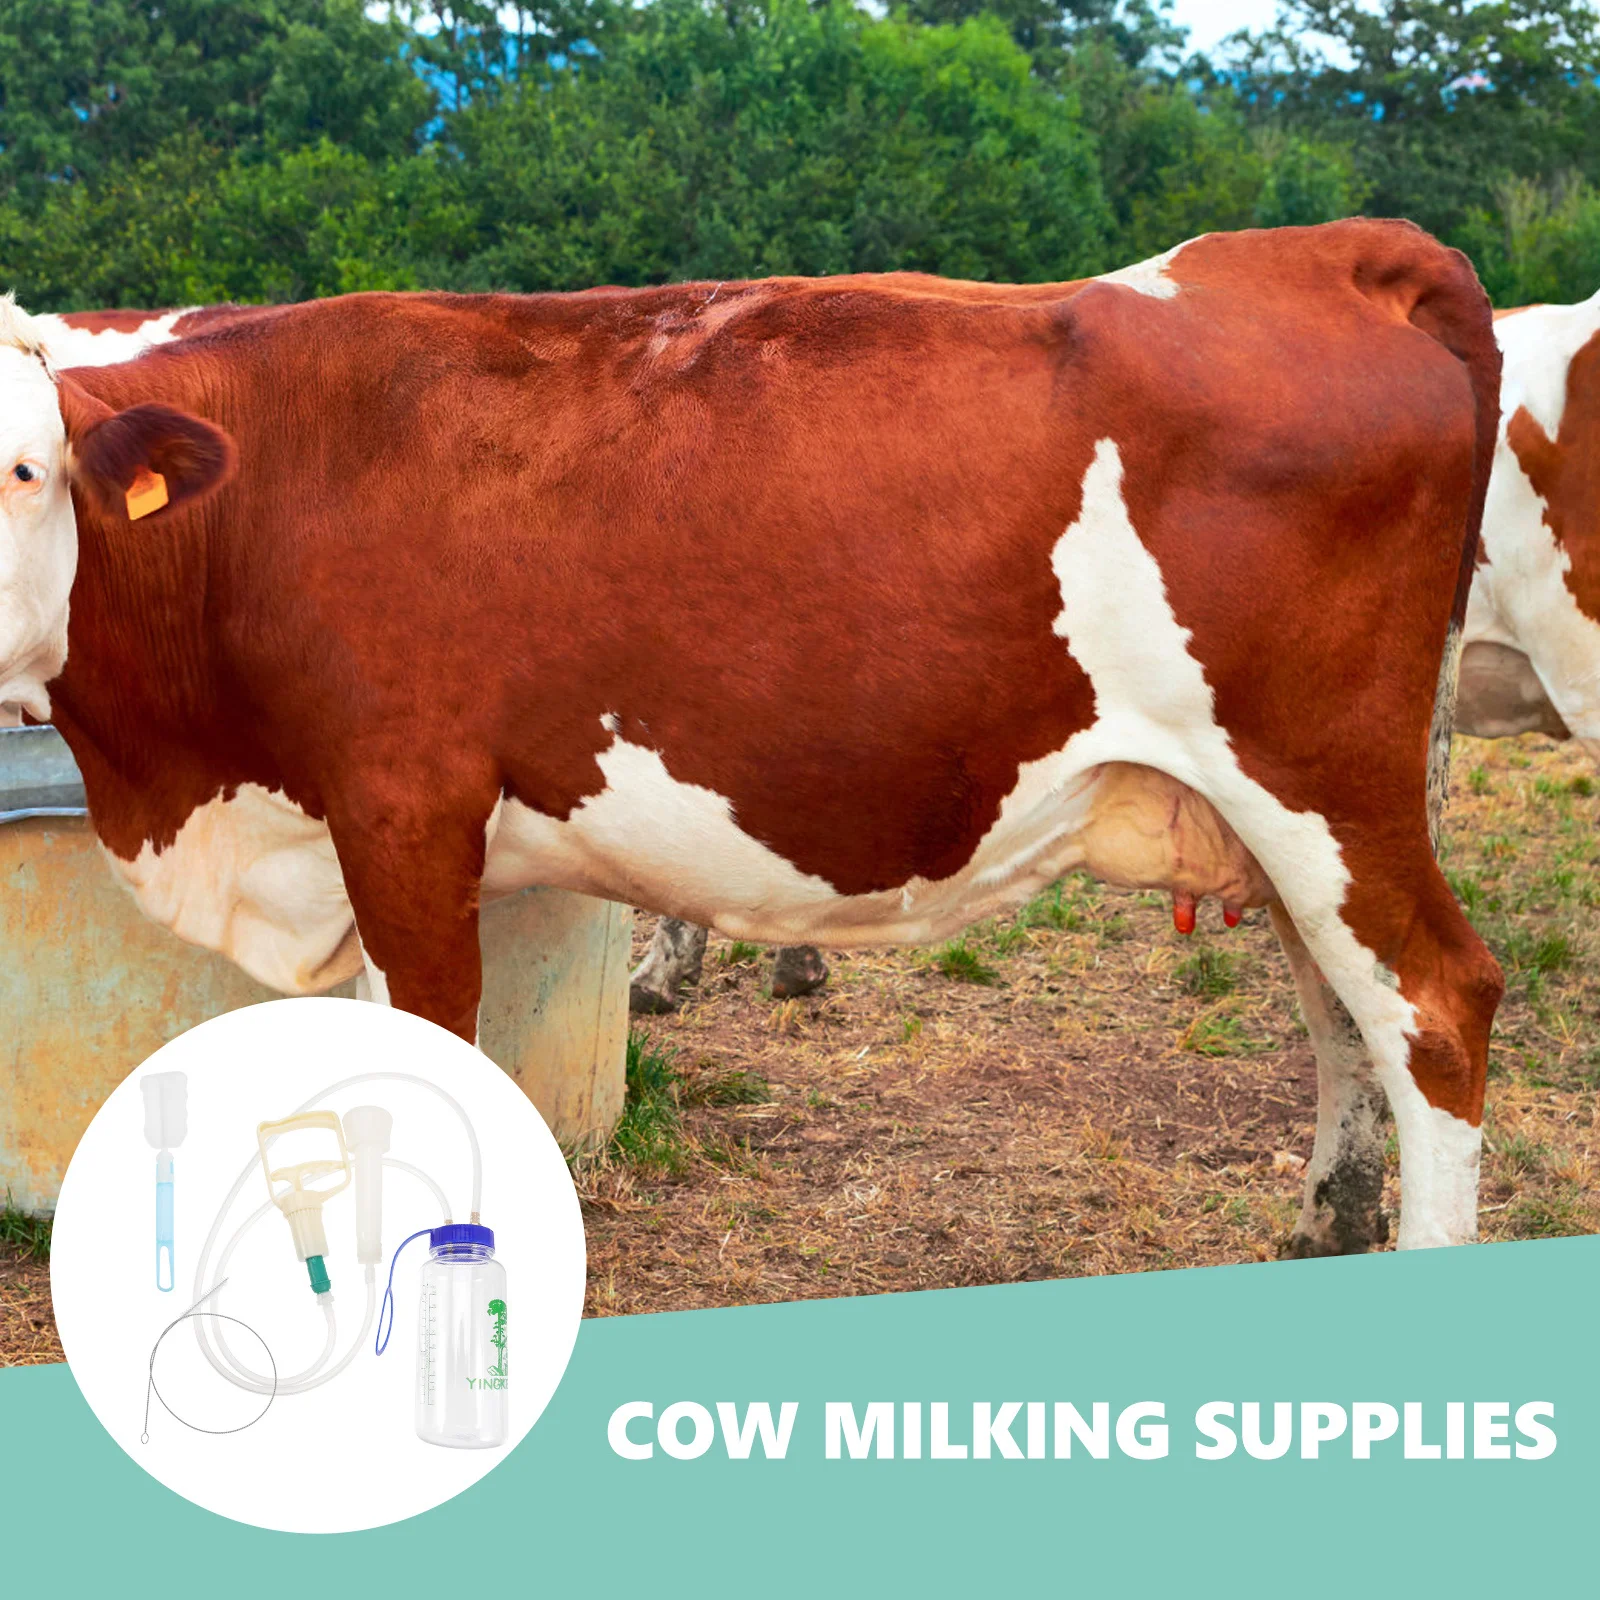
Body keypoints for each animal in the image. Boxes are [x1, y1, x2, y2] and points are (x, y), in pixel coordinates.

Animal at [0, 218, 1503, 1257]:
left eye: (22, 467)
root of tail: (1320, 248)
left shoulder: (404, 811)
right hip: (1289, 810)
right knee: (1340, 1003)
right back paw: (1328, 1214)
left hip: (1317, 775)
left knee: (1430, 1005)